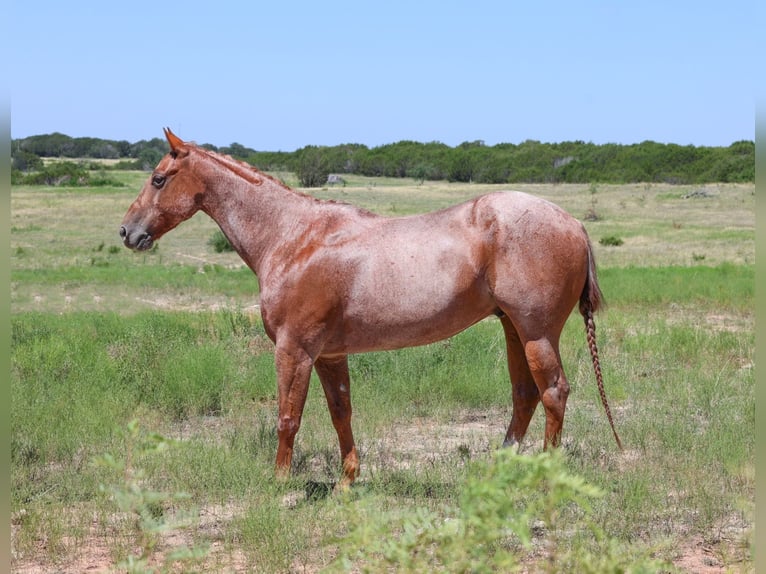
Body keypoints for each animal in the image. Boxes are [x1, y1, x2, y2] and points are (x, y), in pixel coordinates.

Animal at [120, 128, 622, 488]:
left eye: (158, 178)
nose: (127, 232)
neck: (294, 237)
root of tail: (573, 223)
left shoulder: (294, 350)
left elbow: (288, 417)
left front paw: (278, 484)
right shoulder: (329, 355)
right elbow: (340, 412)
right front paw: (348, 481)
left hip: (537, 332)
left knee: (553, 392)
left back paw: (545, 477)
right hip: (513, 329)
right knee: (524, 395)